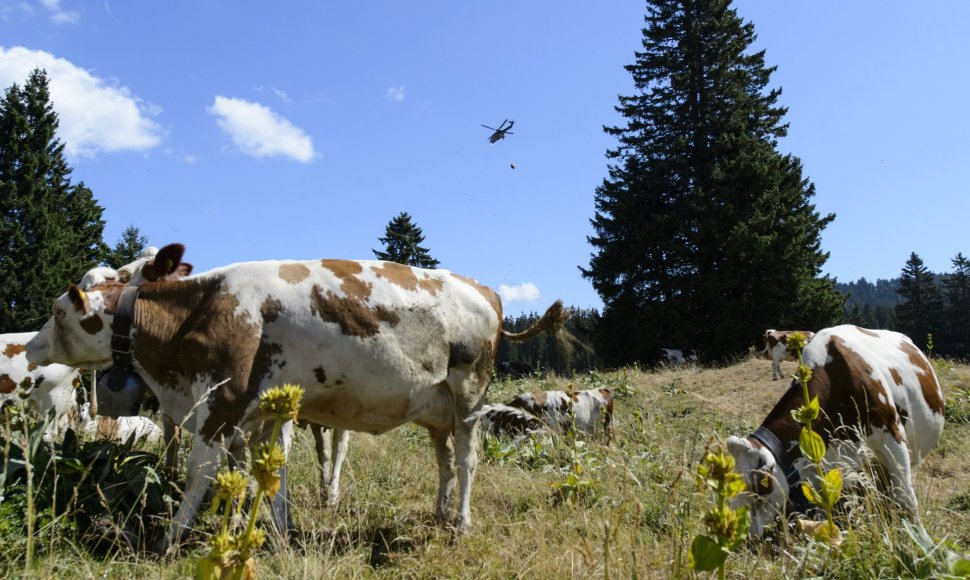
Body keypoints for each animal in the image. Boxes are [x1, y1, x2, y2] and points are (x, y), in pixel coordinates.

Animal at [26, 256, 564, 552]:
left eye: (58, 312)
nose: (30, 348)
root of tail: (484, 288)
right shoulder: (259, 412)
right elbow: (265, 473)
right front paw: (272, 531)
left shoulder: (221, 401)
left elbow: (202, 474)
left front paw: (169, 540)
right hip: (437, 409)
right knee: (445, 462)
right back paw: (438, 513)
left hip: (469, 394)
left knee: (468, 461)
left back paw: (461, 524)